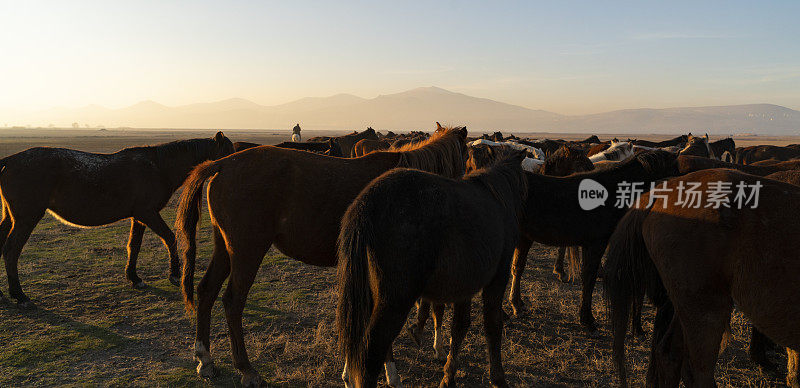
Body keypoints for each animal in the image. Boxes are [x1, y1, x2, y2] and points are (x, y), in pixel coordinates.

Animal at [0, 133, 234, 306]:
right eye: (229, 153)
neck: (158, 167)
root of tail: (9, 161)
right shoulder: (148, 213)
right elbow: (169, 238)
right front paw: (175, 275)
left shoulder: (139, 217)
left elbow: (134, 245)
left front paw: (134, 278)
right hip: (26, 218)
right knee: (11, 250)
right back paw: (19, 295)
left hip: (11, 218)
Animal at [177, 126, 468, 384]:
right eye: (466, 158)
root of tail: (222, 164)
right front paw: (387, 371)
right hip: (248, 250)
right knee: (233, 302)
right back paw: (247, 370)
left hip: (225, 248)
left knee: (206, 291)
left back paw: (205, 359)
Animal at [338, 149, 532, 388]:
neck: (497, 198)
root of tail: (364, 206)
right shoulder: (497, 278)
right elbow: (492, 325)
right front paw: (498, 378)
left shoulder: (465, 287)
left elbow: (459, 326)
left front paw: (449, 375)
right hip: (394, 303)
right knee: (369, 356)